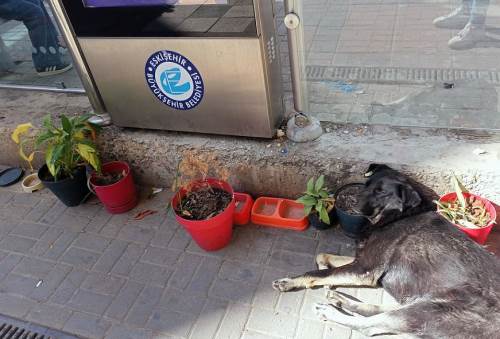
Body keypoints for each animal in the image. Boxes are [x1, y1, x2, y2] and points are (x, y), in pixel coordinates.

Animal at [274, 164, 500, 338]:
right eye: (366, 185)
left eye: (381, 192)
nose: (350, 200)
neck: (398, 215)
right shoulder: (364, 260)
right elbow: (322, 256)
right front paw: (324, 271)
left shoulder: (365, 269)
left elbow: (316, 272)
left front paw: (290, 281)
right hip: (420, 303)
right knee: (380, 313)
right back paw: (339, 299)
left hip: (430, 310)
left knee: (370, 327)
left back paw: (330, 310)